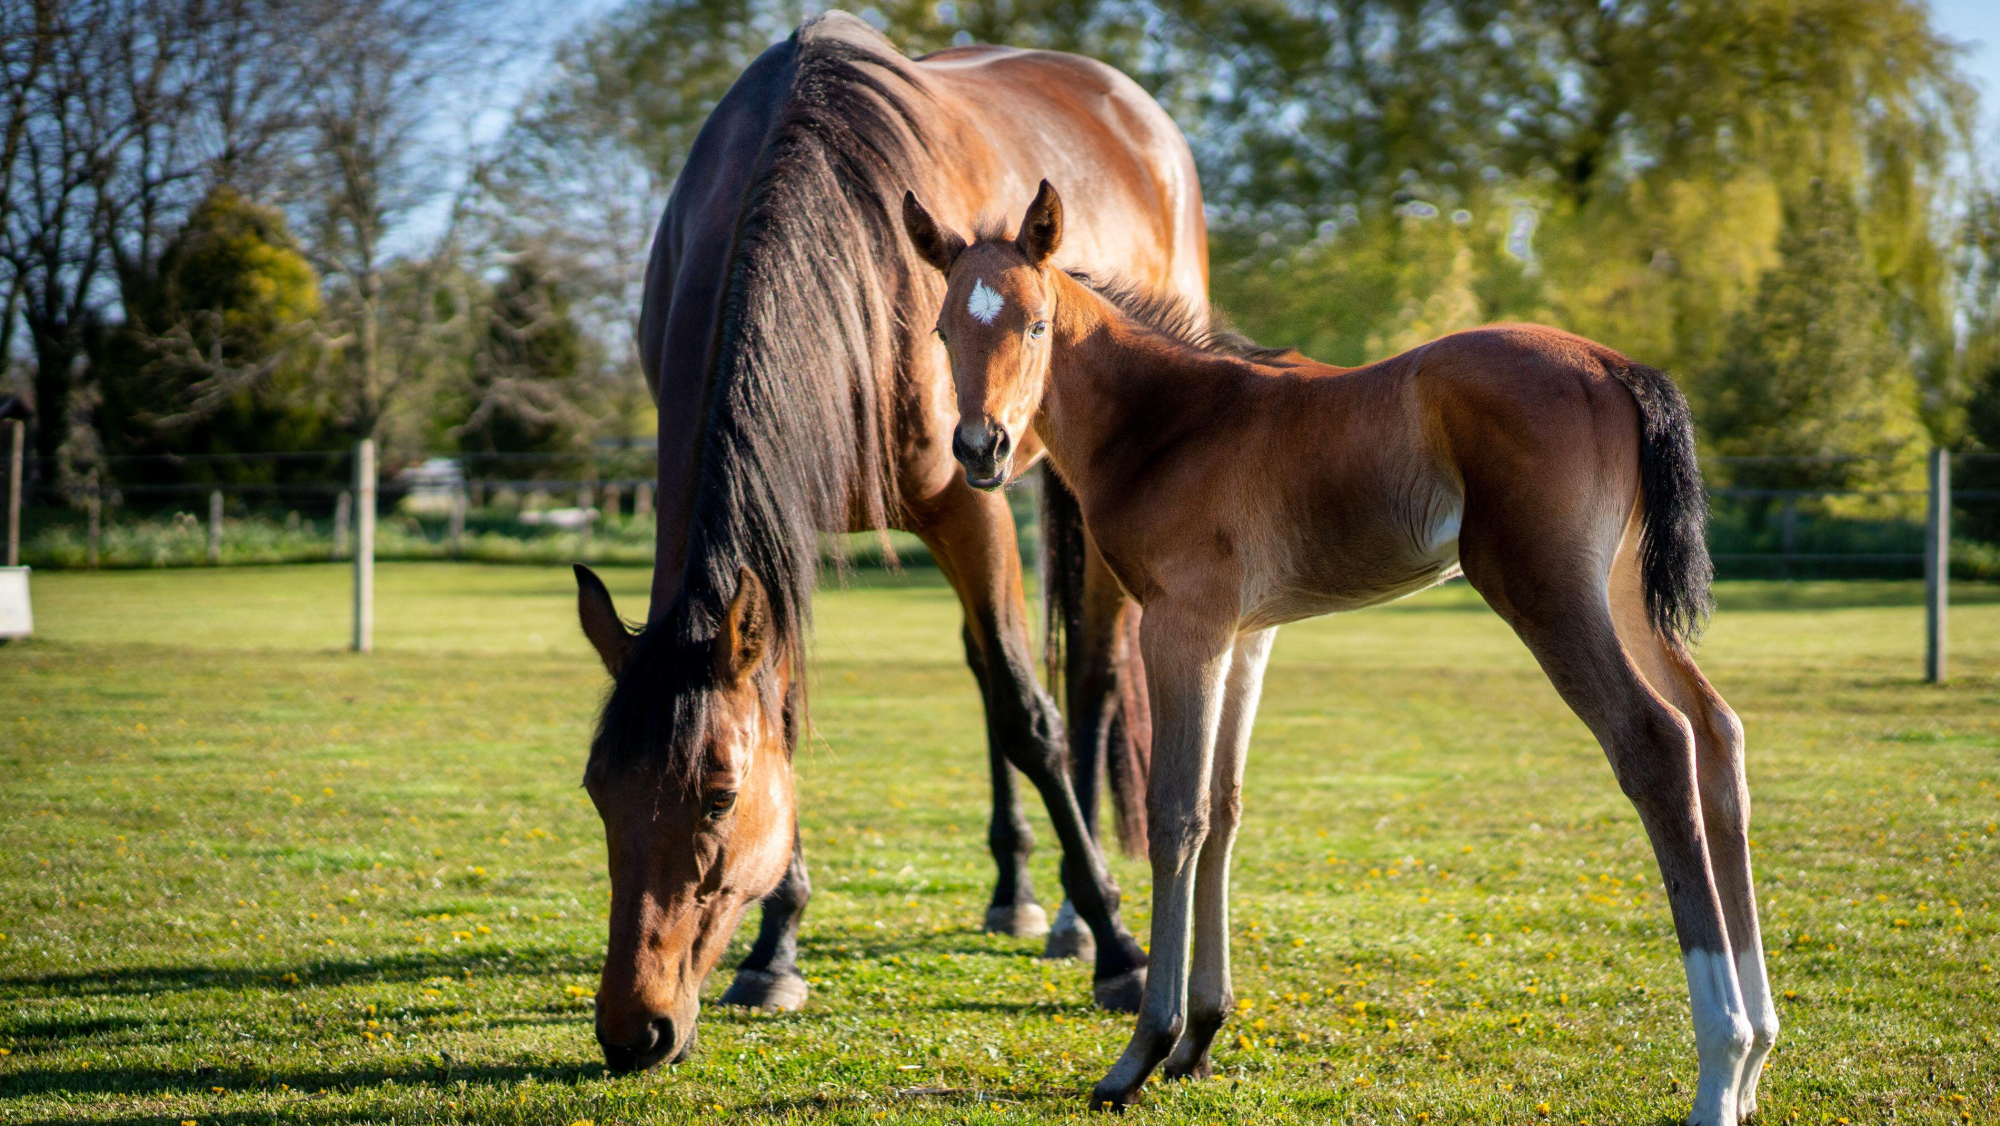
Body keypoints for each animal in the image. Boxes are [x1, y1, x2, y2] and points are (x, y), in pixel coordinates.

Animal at [569, 14, 1210, 1072]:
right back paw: (1014, 892)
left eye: (717, 795)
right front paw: (776, 952)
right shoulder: (779, 542)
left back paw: (1076, 918)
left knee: (1087, 675)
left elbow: (1031, 714)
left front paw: (1118, 947)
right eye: (597, 791)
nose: (634, 1029)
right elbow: (793, 710)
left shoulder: (968, 502)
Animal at [903, 182, 1779, 1126]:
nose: (980, 448)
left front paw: (1142, 1050)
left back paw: (1719, 1070)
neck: (1168, 422)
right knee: (1718, 733)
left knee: (1655, 743)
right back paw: (1755, 1059)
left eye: (1034, 325)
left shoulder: (1182, 626)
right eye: (944, 330)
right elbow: (1226, 807)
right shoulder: (1246, 635)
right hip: (1620, 595)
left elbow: (1178, 816)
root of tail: (1619, 368)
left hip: (1547, 591)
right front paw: (1200, 1038)